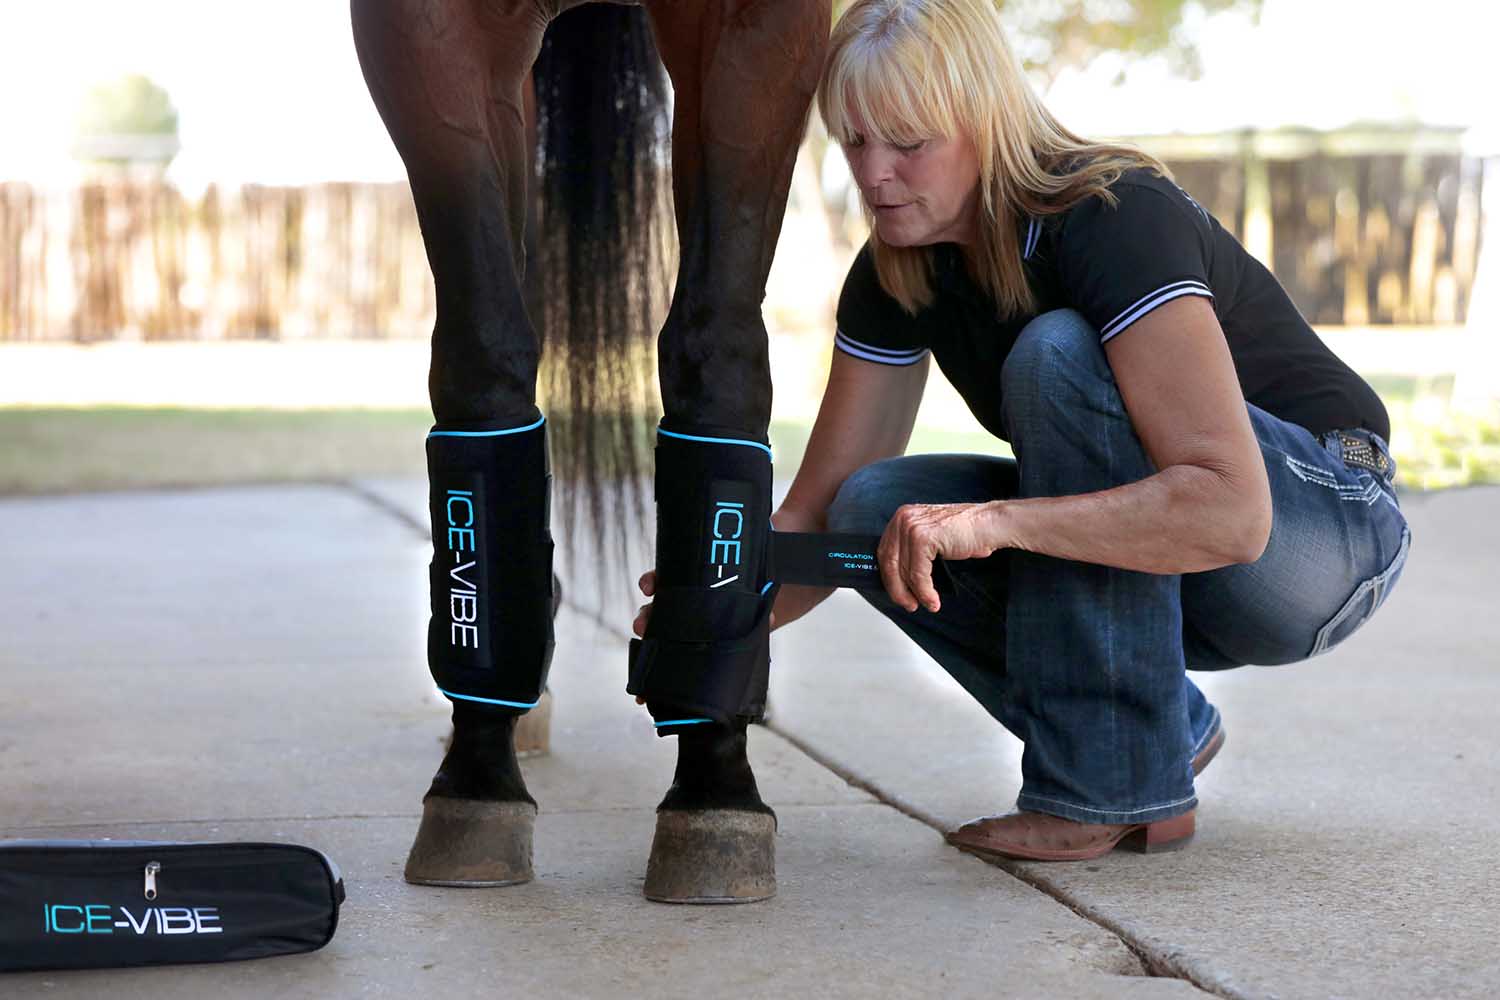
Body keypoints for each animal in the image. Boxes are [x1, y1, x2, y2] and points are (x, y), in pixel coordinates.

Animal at [350, 0, 830, 902]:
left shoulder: (761, 29)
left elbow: (716, 346)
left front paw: (715, 788)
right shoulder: (428, 32)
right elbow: (484, 348)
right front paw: (477, 781)